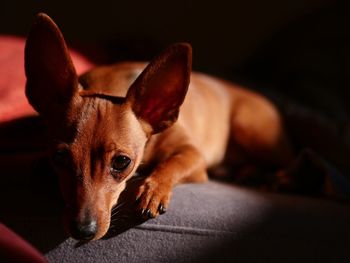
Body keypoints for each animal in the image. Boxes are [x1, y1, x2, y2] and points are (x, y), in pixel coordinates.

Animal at [23, 13, 296, 241]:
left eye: (121, 162)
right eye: (59, 157)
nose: (83, 230)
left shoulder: (193, 154)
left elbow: (172, 163)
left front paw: (153, 190)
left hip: (249, 129)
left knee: (289, 161)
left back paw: (275, 178)